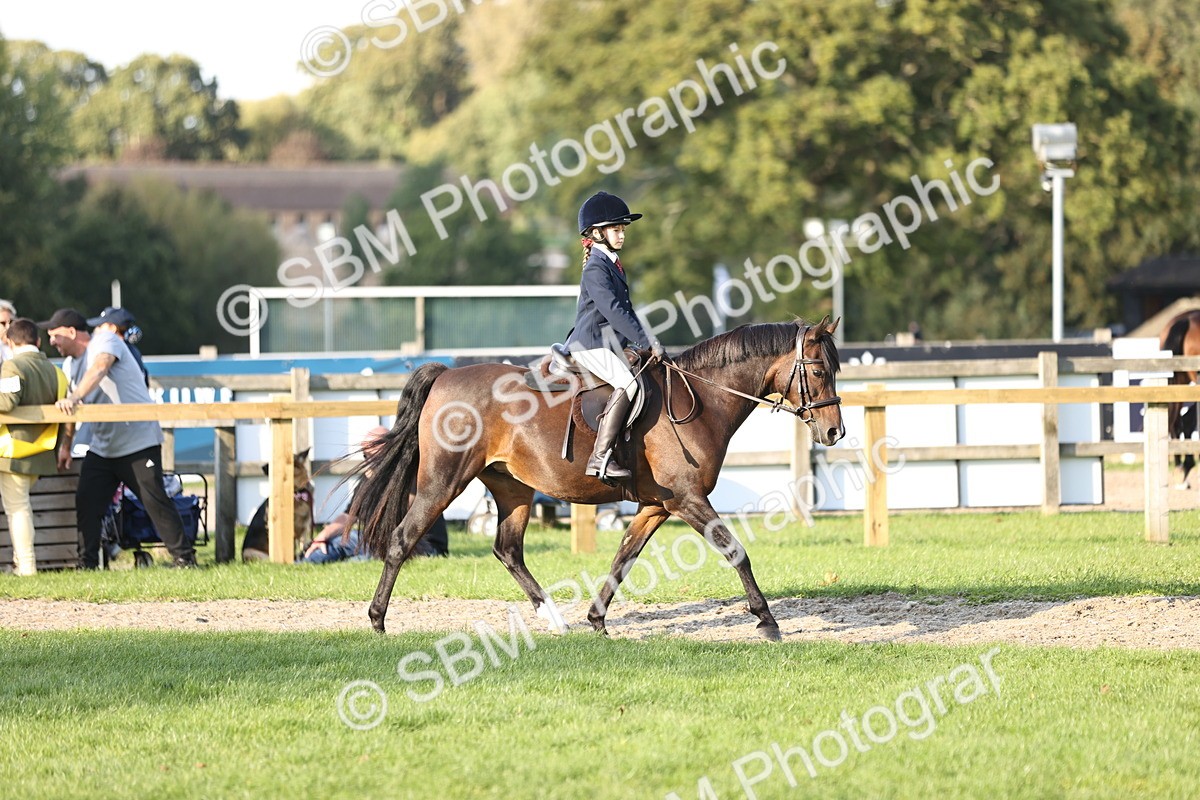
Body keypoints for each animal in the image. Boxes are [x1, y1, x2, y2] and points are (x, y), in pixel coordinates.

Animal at [350, 317, 845, 641]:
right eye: (820, 371)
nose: (834, 433)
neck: (701, 398)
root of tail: (447, 373)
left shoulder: (656, 506)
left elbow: (623, 558)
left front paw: (597, 620)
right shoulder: (687, 499)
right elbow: (736, 551)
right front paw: (767, 621)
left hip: (512, 487)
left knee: (508, 550)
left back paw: (555, 619)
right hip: (443, 481)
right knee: (403, 539)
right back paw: (377, 621)